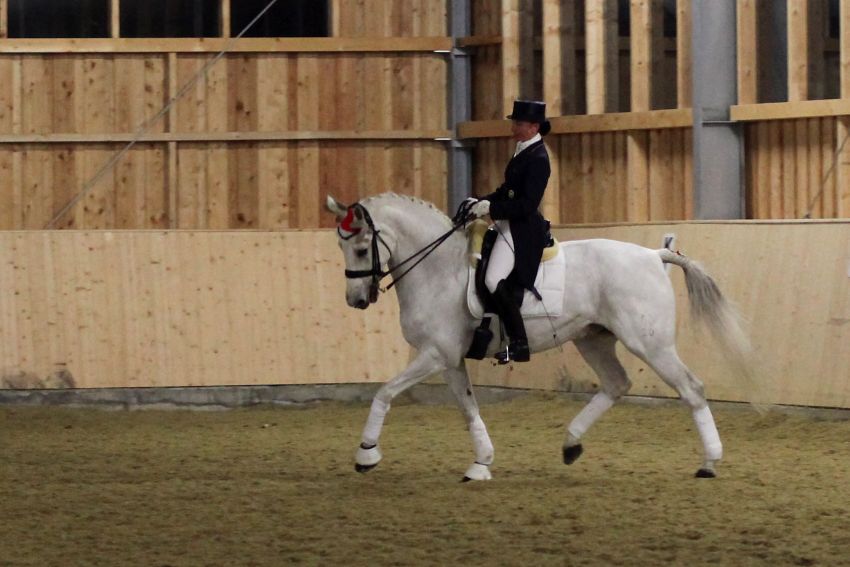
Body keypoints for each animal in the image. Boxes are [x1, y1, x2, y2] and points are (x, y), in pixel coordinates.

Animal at [326, 192, 751, 481]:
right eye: (342, 246)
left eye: (361, 248)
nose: (356, 300)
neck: (439, 270)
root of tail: (653, 255)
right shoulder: (449, 359)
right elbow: (468, 408)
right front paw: (481, 463)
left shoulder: (434, 354)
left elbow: (385, 392)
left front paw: (366, 454)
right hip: (592, 338)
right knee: (616, 383)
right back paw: (571, 443)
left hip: (650, 344)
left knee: (691, 388)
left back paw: (709, 462)